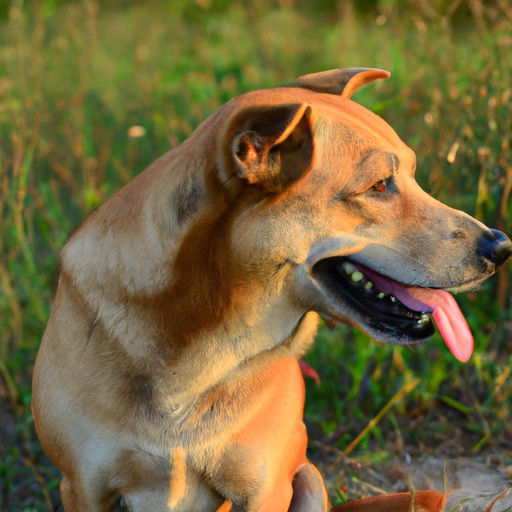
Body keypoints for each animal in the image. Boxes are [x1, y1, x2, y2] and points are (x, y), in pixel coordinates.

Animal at [33, 68, 512, 512]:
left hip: (308, 478)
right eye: (378, 186)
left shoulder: (264, 488)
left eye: (412, 173)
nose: (501, 246)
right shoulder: (82, 486)